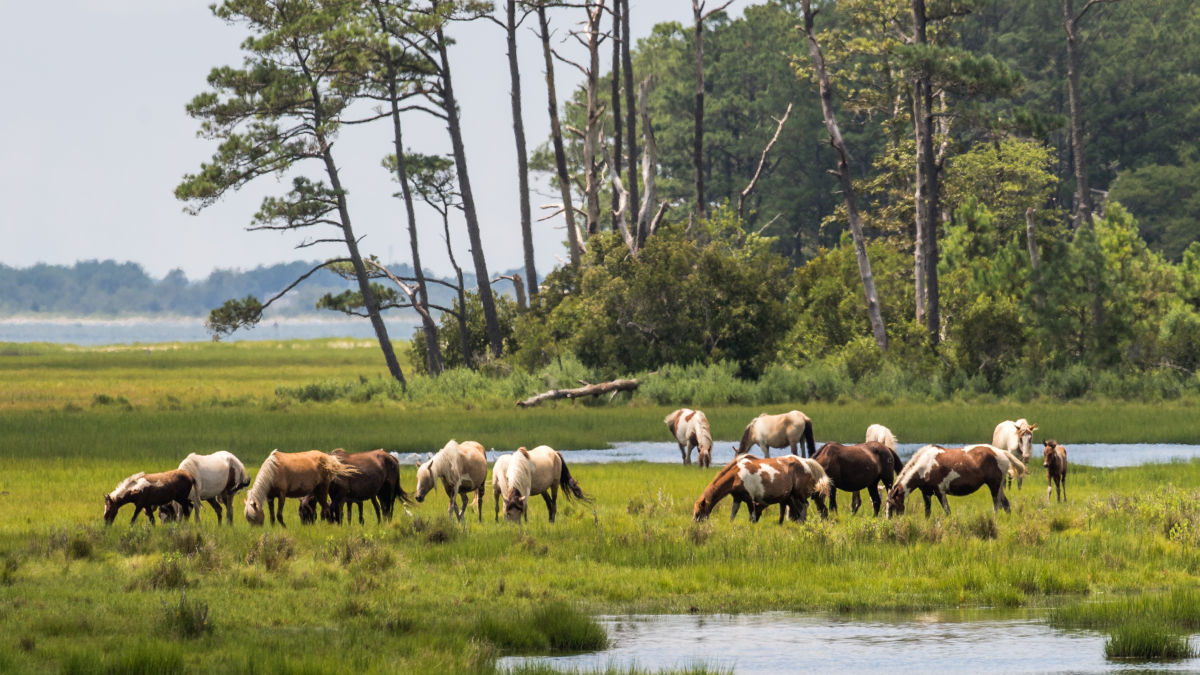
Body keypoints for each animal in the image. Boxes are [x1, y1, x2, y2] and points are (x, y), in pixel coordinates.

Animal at [691, 454, 830, 523]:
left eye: (698, 512)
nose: (695, 524)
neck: (736, 475)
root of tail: (805, 462)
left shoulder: (750, 499)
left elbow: (752, 517)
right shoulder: (737, 498)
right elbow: (732, 515)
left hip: (798, 494)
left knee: (805, 506)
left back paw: (802, 522)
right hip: (793, 496)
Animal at [888, 444, 1027, 516]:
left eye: (893, 504)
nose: (891, 521)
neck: (925, 465)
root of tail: (1002, 452)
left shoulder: (940, 492)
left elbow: (947, 511)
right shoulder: (926, 493)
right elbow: (927, 512)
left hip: (994, 486)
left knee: (997, 506)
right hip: (999, 488)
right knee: (1006, 505)